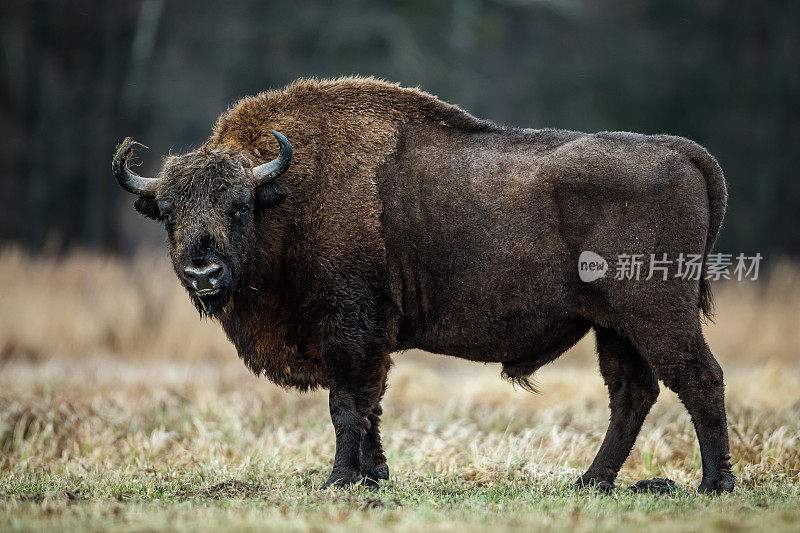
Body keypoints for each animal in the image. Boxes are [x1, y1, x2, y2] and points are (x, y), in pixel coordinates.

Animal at [112, 77, 732, 492]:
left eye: (238, 207)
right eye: (167, 213)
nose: (203, 273)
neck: (287, 196)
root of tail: (679, 150)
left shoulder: (351, 332)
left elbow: (347, 404)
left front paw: (340, 480)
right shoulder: (367, 341)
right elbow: (370, 408)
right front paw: (375, 476)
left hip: (657, 313)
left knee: (699, 379)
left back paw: (712, 484)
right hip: (614, 325)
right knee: (633, 392)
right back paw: (590, 482)